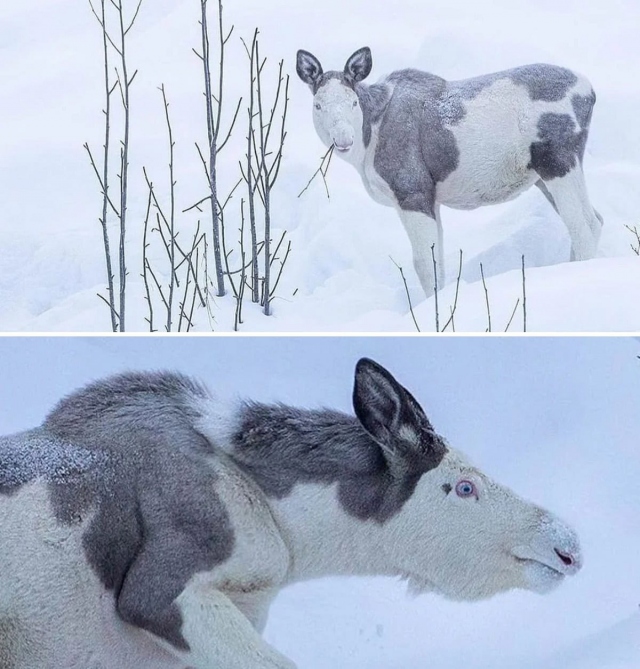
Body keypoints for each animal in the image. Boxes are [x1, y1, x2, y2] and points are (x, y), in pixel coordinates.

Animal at [298, 45, 604, 296]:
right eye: (318, 105)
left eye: (353, 102)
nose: (343, 140)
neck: (367, 144)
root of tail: (589, 92)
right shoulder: (431, 198)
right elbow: (438, 261)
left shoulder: (412, 190)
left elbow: (424, 264)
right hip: (547, 173)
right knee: (596, 219)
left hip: (556, 160)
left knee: (583, 226)